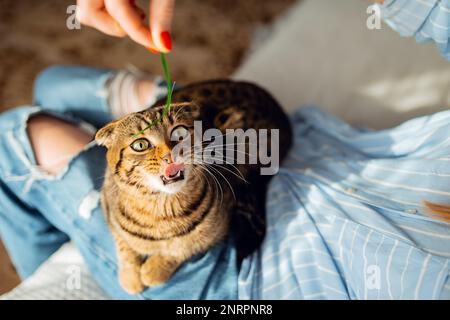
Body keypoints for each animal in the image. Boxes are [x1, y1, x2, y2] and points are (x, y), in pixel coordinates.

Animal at [96, 79, 292, 292]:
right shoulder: (106, 202)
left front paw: (153, 270)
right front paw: (130, 278)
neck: (161, 211)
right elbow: (123, 244)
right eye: (140, 145)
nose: (170, 155)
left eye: (179, 132)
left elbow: (184, 248)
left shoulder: (217, 228)